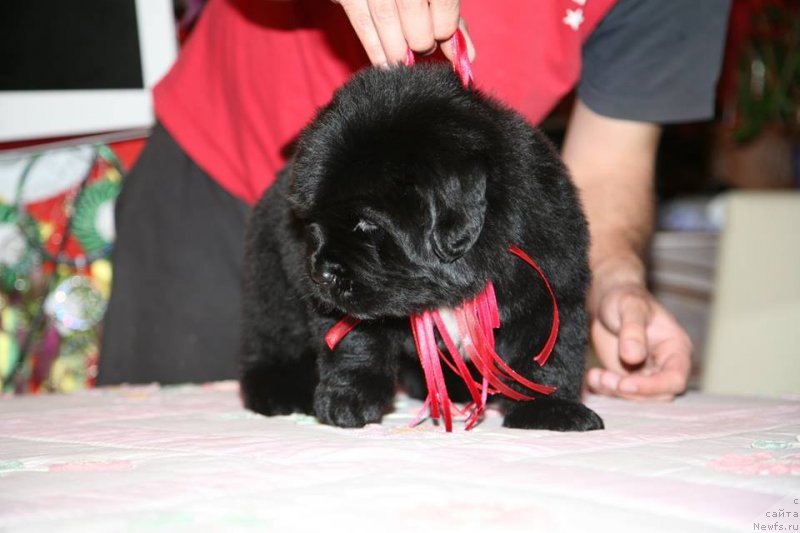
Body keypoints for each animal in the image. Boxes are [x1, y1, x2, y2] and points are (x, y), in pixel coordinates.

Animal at [241, 65, 604, 432]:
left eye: (366, 224)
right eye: (311, 222)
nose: (320, 274)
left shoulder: (549, 288)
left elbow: (547, 355)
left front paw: (549, 409)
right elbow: (356, 342)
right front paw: (347, 400)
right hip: (275, 287)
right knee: (274, 342)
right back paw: (280, 391)